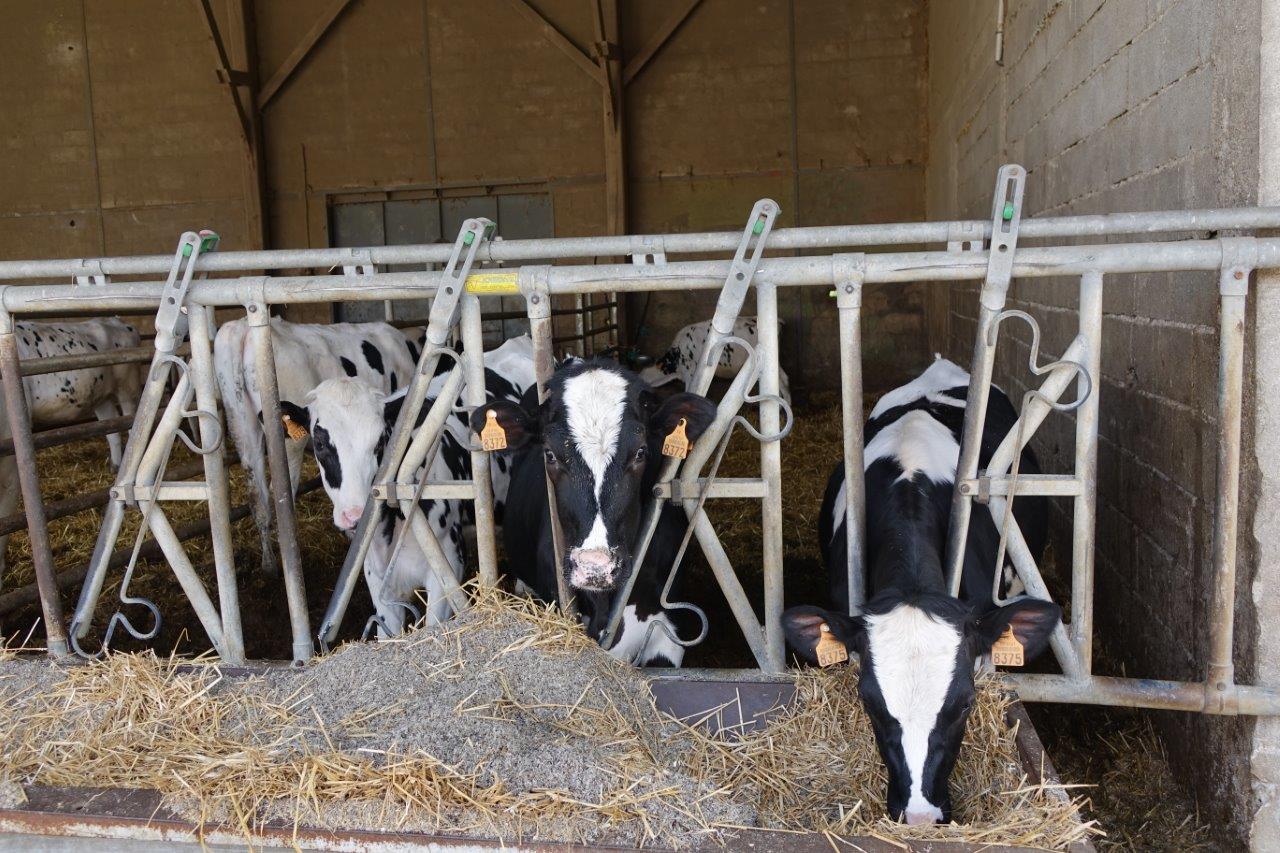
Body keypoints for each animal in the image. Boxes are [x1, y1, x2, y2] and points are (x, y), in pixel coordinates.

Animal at [212, 313, 417, 571]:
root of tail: (243, 328)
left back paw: (269, 563)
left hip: (241, 426)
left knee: (257, 495)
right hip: (287, 445)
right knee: (281, 494)